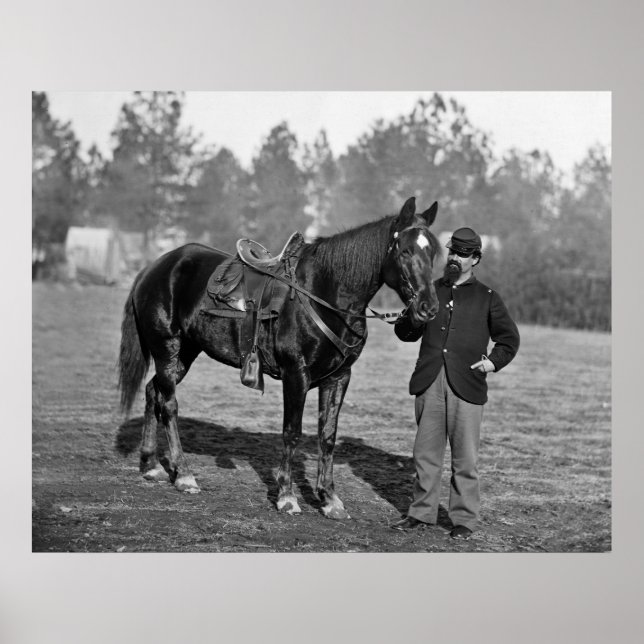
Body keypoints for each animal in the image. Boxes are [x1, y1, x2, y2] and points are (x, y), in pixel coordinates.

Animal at [117, 196, 441, 519]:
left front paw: (329, 499)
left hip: (184, 352)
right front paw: (287, 497)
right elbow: (291, 432)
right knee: (169, 405)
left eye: (433, 251)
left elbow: (328, 435)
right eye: (405, 250)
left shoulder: (339, 377)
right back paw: (184, 475)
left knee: (153, 392)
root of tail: (154, 268)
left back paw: (151, 465)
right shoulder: (295, 374)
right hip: (167, 348)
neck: (324, 294)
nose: (428, 307)